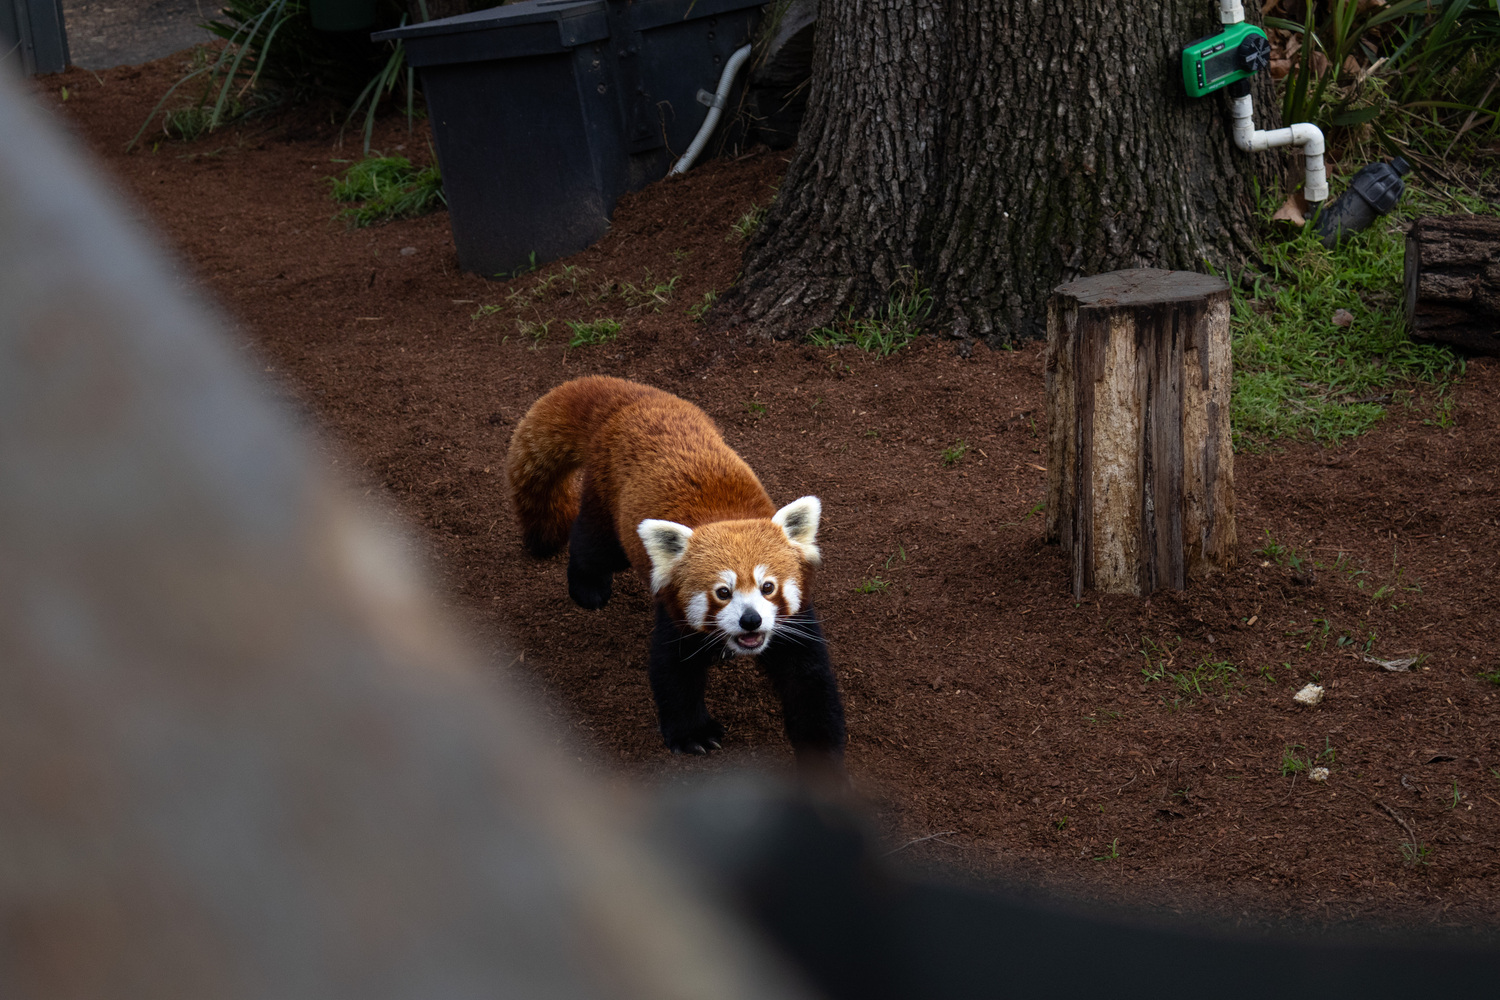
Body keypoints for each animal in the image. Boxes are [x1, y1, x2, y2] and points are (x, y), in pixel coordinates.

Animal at [510, 374, 852, 758]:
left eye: (768, 587)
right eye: (722, 592)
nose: (751, 620)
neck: (726, 518)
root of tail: (634, 400)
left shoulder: (794, 622)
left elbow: (807, 679)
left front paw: (822, 750)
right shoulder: (674, 611)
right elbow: (673, 672)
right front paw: (694, 734)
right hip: (609, 502)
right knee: (595, 544)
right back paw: (587, 587)